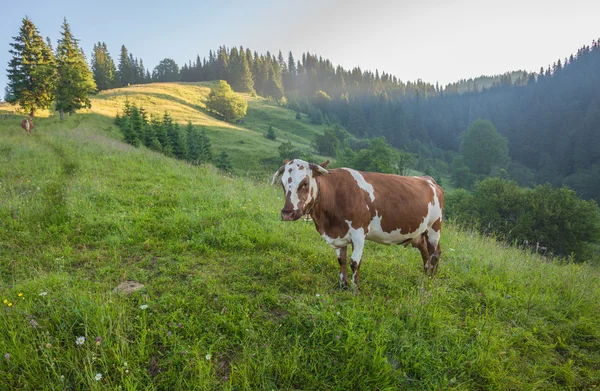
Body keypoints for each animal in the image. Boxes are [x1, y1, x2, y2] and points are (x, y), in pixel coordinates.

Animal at [274, 159, 442, 290]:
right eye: (282, 184)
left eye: (304, 183)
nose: (287, 213)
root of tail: (430, 181)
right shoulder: (338, 234)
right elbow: (341, 260)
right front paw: (342, 285)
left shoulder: (359, 233)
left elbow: (354, 263)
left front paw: (355, 289)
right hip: (420, 233)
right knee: (425, 253)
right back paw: (425, 276)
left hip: (434, 228)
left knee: (435, 254)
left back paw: (430, 282)